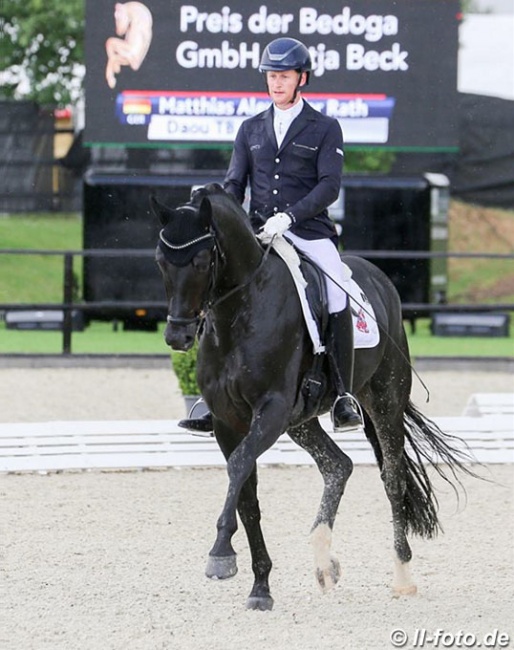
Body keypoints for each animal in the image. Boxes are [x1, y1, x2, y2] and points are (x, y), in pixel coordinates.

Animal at [152, 185, 472, 612]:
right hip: (300, 420)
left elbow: (238, 467)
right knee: (338, 465)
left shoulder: (269, 411)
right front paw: (260, 587)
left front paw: (220, 554)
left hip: (384, 400)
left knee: (392, 478)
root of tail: (379, 278)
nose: (178, 336)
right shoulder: (228, 421)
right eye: (160, 261)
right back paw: (325, 564)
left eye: (202, 261)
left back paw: (403, 577)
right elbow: (247, 496)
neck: (240, 310)